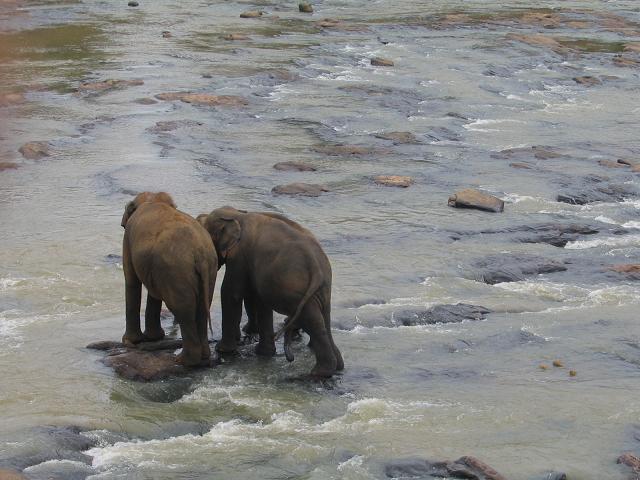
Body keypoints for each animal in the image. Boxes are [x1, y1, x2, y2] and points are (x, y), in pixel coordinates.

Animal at [120, 192, 218, 368]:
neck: (153, 199)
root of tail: (200, 253)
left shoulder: (128, 239)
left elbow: (131, 280)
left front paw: (130, 342)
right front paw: (153, 337)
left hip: (177, 271)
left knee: (184, 310)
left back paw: (183, 361)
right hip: (209, 269)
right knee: (201, 307)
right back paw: (204, 356)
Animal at [198, 207, 344, 378]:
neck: (237, 215)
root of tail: (317, 268)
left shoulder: (239, 255)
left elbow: (231, 292)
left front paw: (222, 349)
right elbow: (258, 298)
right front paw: (263, 352)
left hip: (296, 290)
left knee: (311, 320)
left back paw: (319, 373)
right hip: (321, 291)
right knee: (324, 319)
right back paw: (337, 367)